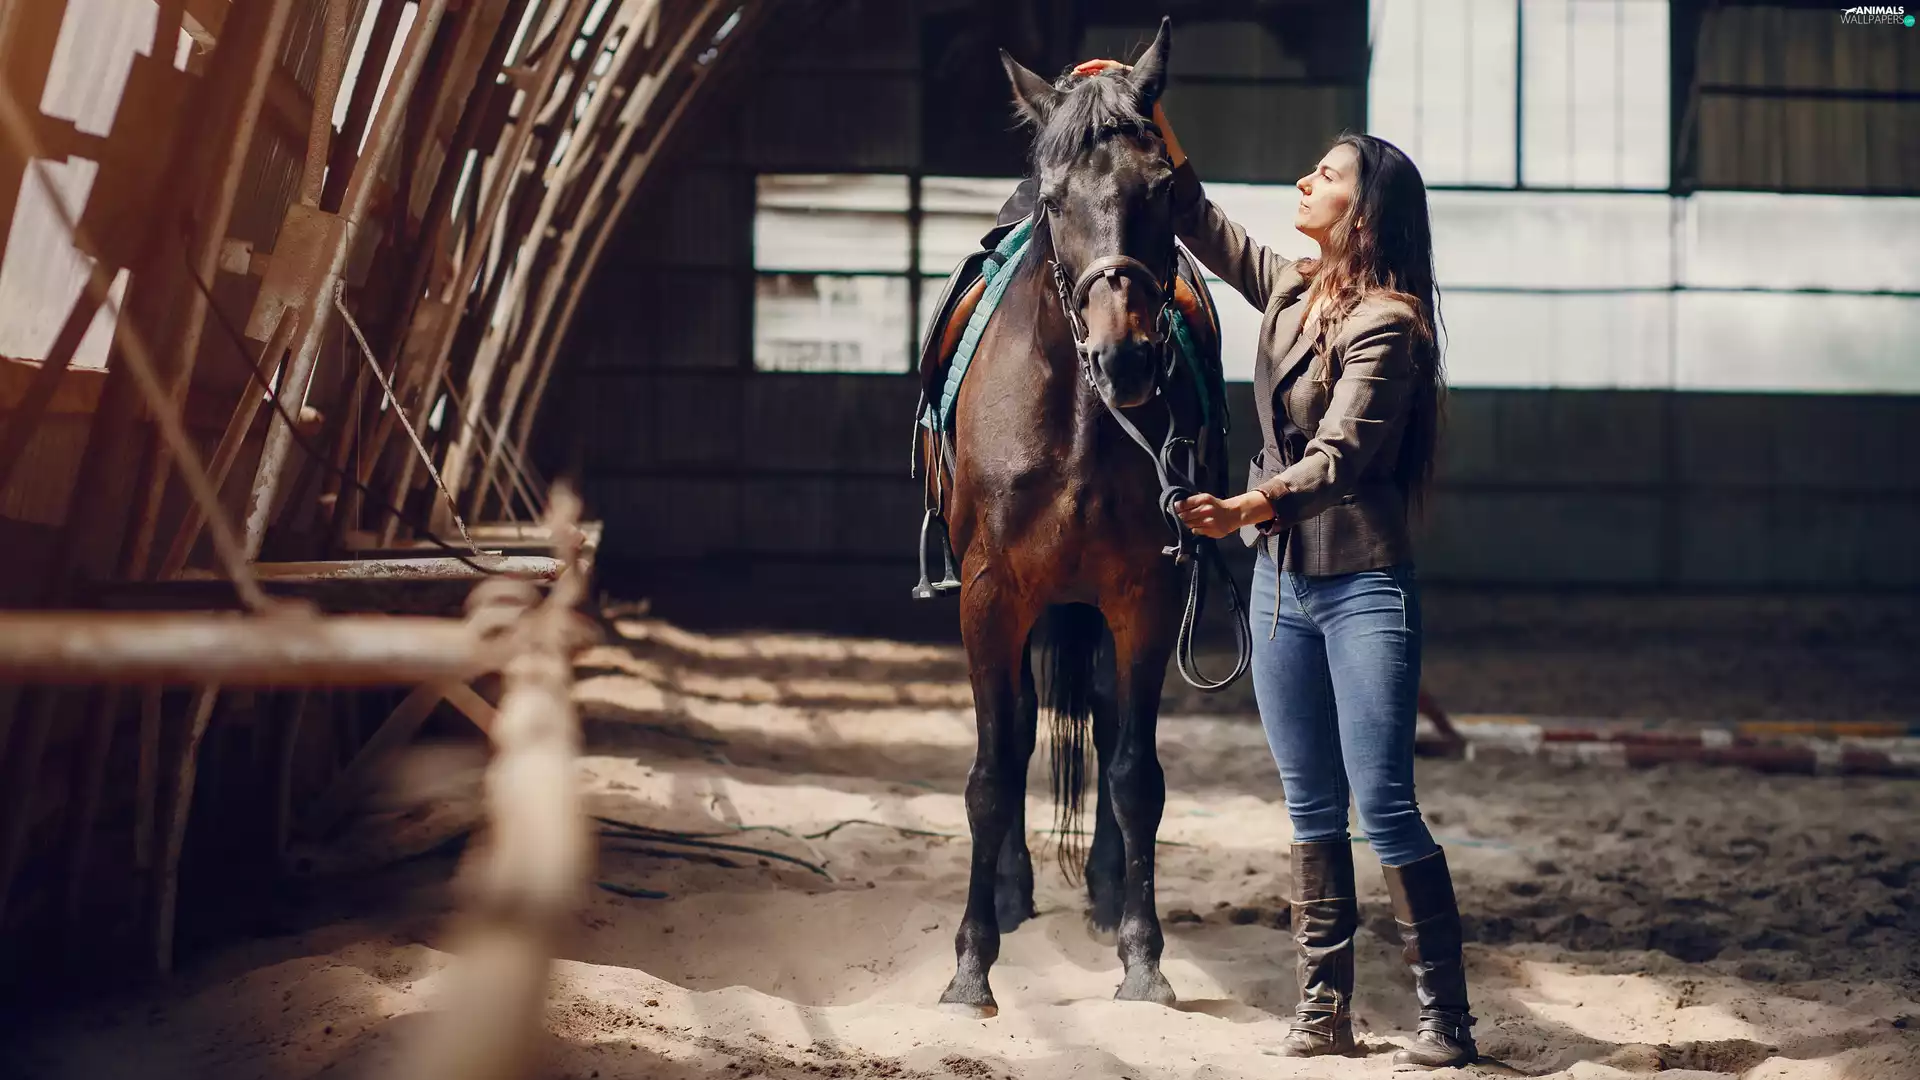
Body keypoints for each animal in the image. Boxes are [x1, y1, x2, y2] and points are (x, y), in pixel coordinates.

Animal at [929, 19, 1227, 1018]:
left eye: (1163, 189)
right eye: (1058, 202)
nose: (1124, 355)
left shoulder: (1144, 597)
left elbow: (1135, 772)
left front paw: (1144, 957)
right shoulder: (989, 597)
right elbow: (991, 772)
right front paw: (971, 966)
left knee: (1099, 720)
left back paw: (1099, 892)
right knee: (1021, 728)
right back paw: (1015, 893)